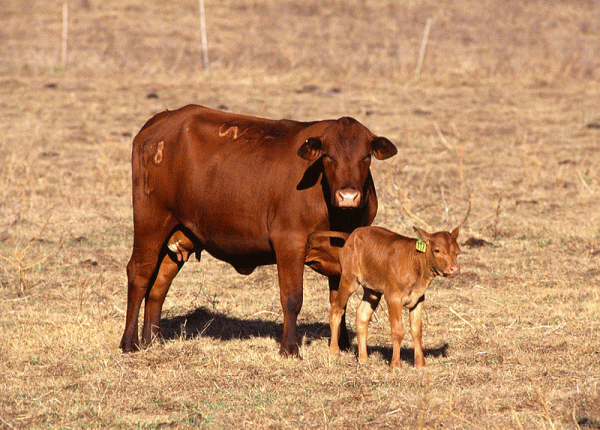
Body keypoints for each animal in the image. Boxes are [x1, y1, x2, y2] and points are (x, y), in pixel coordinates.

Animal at [119, 104, 396, 356]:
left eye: (366, 157)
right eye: (328, 156)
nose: (348, 196)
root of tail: (165, 118)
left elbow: (340, 300)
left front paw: (343, 345)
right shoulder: (289, 243)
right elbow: (292, 298)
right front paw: (290, 348)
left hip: (179, 233)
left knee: (159, 284)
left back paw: (153, 340)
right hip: (151, 222)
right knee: (140, 274)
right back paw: (129, 343)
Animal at [308, 225, 462, 366]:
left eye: (457, 252)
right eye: (437, 250)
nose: (455, 269)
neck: (415, 262)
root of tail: (353, 234)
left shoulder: (418, 298)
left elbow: (417, 330)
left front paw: (420, 364)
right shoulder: (393, 297)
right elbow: (398, 330)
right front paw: (395, 365)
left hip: (372, 290)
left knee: (362, 315)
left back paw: (363, 359)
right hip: (348, 278)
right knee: (337, 309)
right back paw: (333, 352)